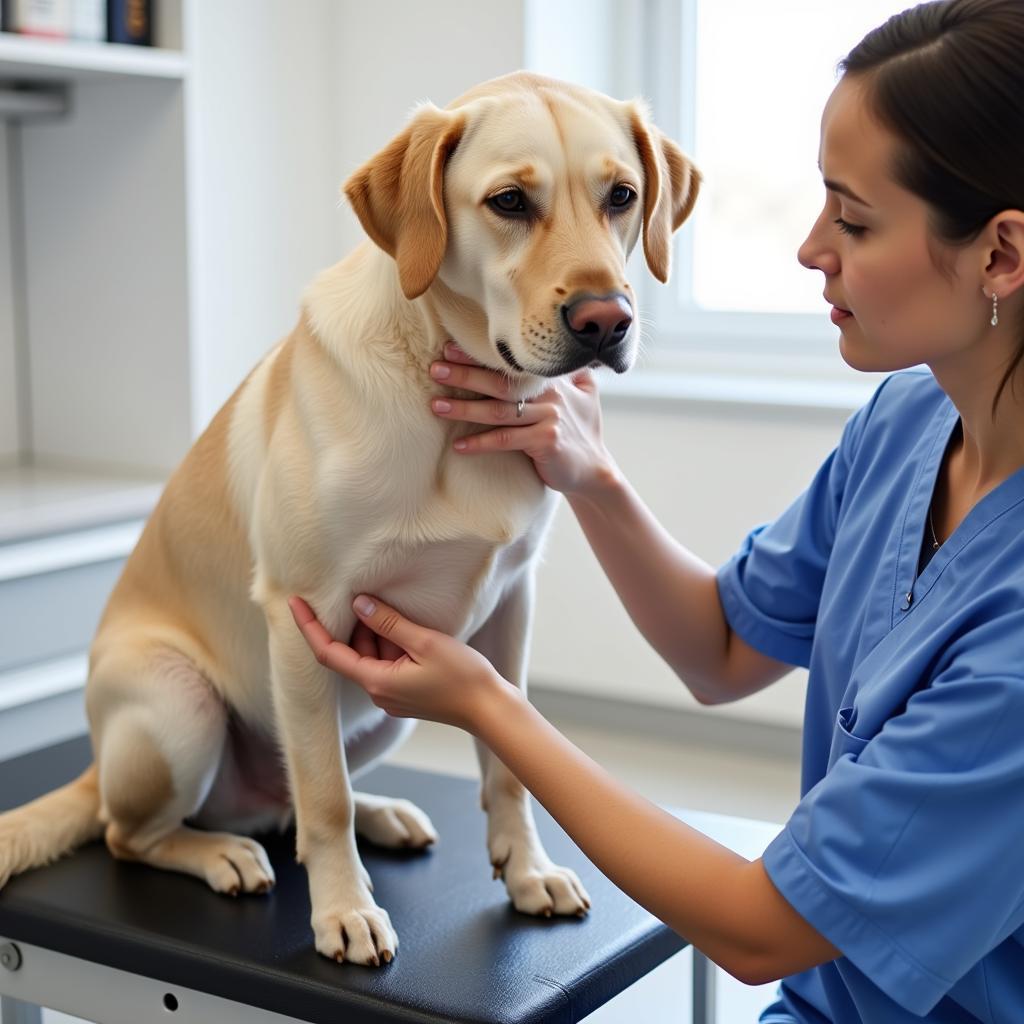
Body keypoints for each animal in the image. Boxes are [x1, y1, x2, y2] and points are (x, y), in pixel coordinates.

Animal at [0, 72, 700, 966]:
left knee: (288, 797)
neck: (447, 391)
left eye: (622, 196)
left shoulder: (510, 608)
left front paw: (527, 870)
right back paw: (223, 853)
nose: (606, 319)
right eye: (509, 201)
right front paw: (344, 911)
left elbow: (507, 761)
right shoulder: (303, 619)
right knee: (151, 830)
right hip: (179, 704)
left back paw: (383, 817)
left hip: (376, 718)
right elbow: (324, 797)